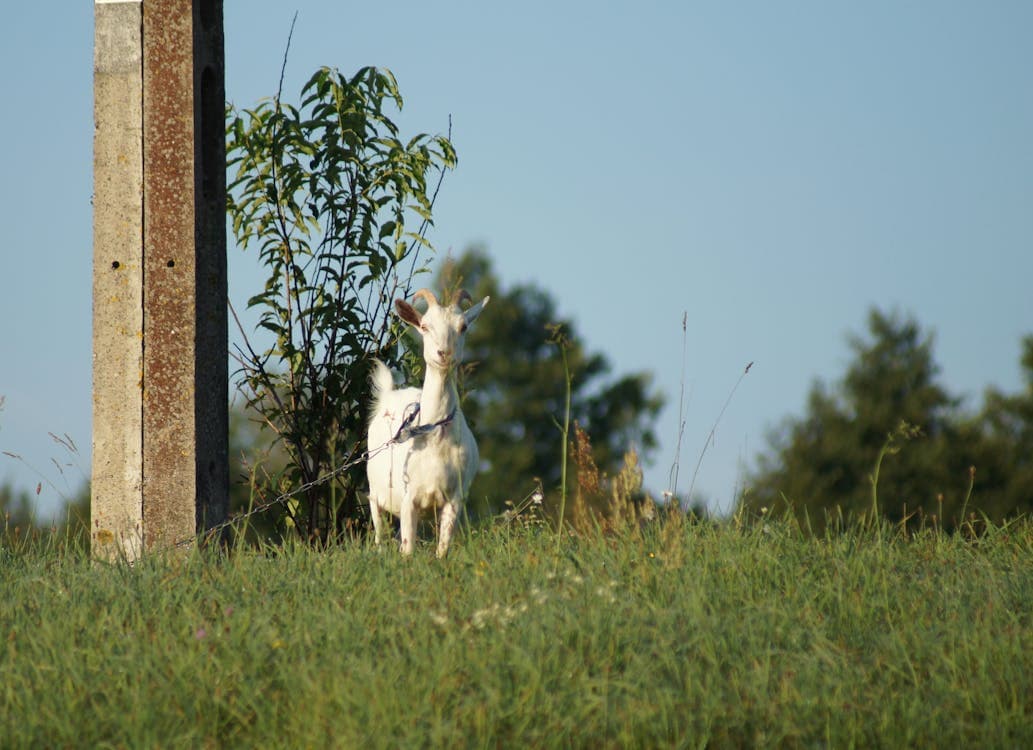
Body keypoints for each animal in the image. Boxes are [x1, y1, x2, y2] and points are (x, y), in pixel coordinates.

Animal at [366, 288, 489, 557]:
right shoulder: (408, 497)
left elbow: (442, 548)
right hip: (375, 491)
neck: (434, 438)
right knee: (379, 531)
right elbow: (408, 548)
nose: (444, 353)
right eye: (424, 326)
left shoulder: (454, 499)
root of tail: (389, 394)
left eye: (463, 326)